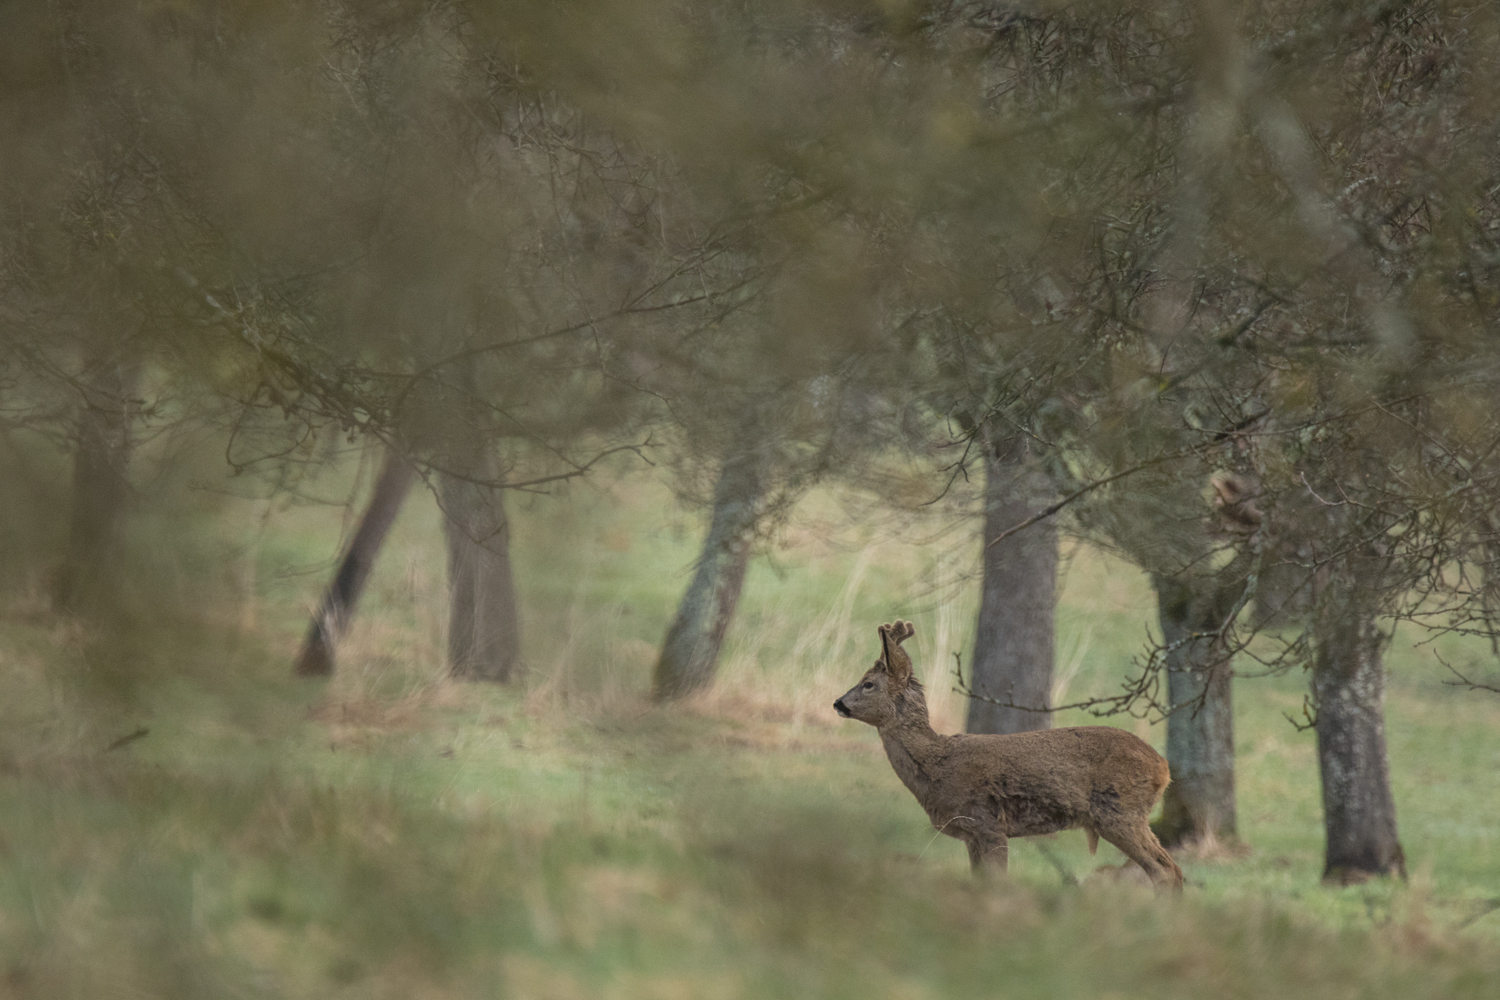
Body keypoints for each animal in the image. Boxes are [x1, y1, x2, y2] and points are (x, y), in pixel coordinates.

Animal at [834, 617, 1182, 893]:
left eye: (868, 684)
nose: (838, 703)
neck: (938, 764)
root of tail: (1164, 768)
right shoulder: (971, 834)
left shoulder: (987, 823)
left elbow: (996, 881)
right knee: (1173, 869)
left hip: (1120, 811)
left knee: (1164, 870)